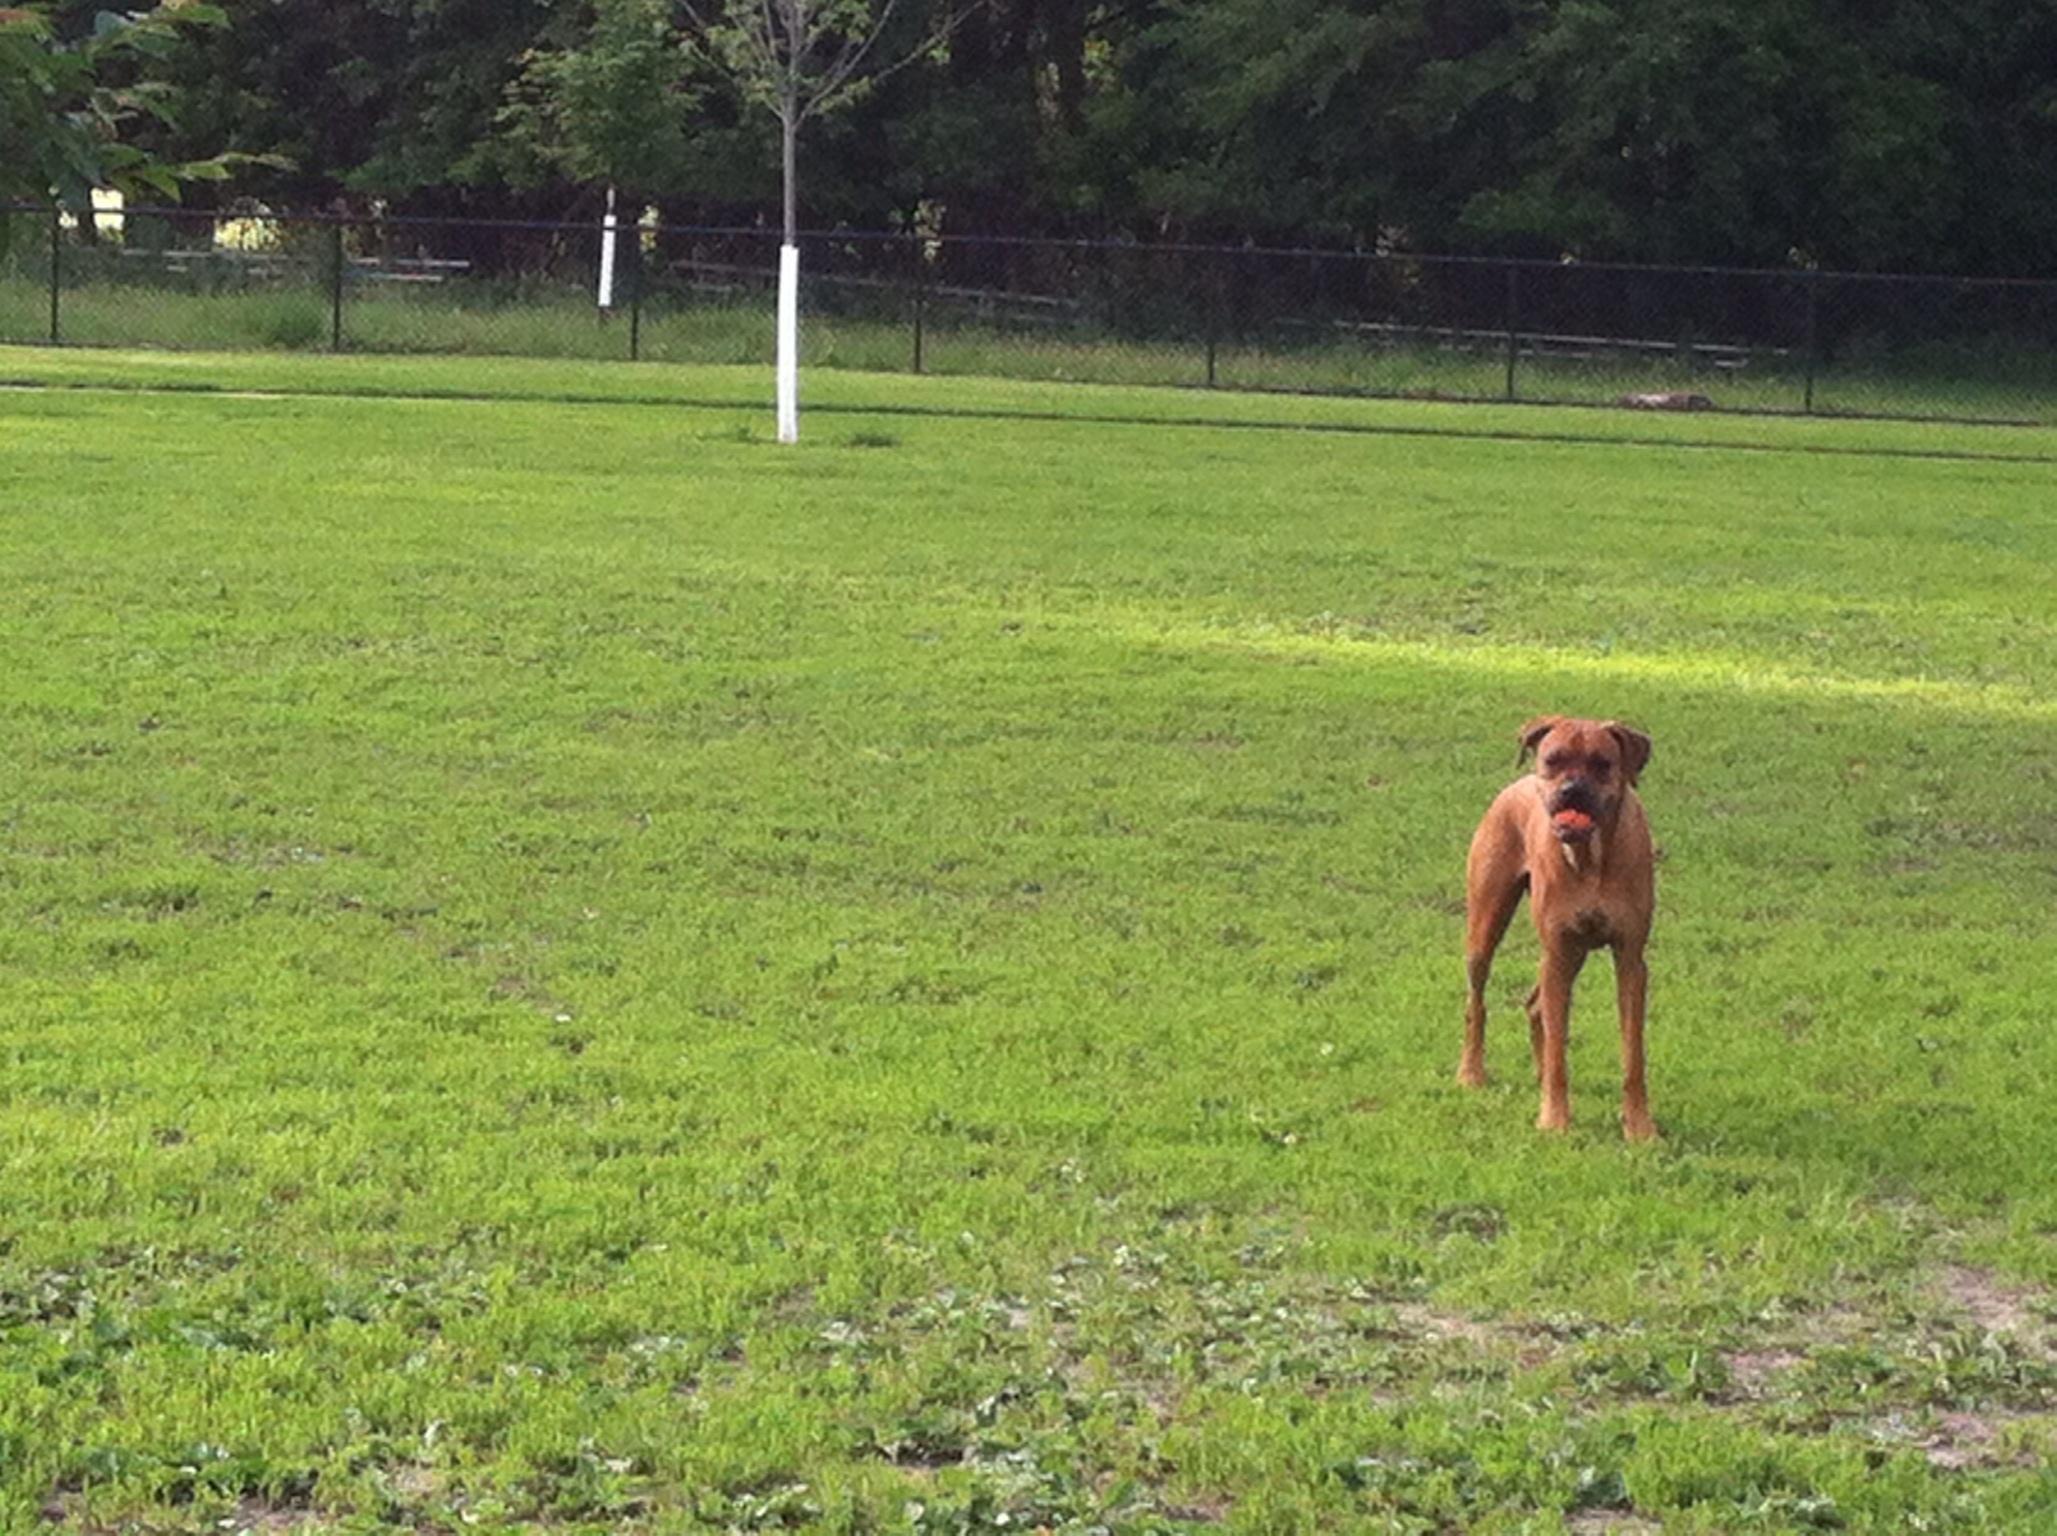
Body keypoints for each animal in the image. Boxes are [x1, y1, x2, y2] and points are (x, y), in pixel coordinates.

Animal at [1456, 715, 1662, 1135]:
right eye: (1553, 760)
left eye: (1602, 763)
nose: (1572, 790)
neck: (1590, 858)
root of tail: (1515, 785)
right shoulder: (1557, 951)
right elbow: (1557, 1051)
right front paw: (1554, 1120)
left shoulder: (1630, 960)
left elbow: (1633, 1052)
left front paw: (1639, 1127)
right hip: (1488, 925)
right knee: (1477, 1002)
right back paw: (1471, 1073)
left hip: (1574, 952)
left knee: (1535, 1006)